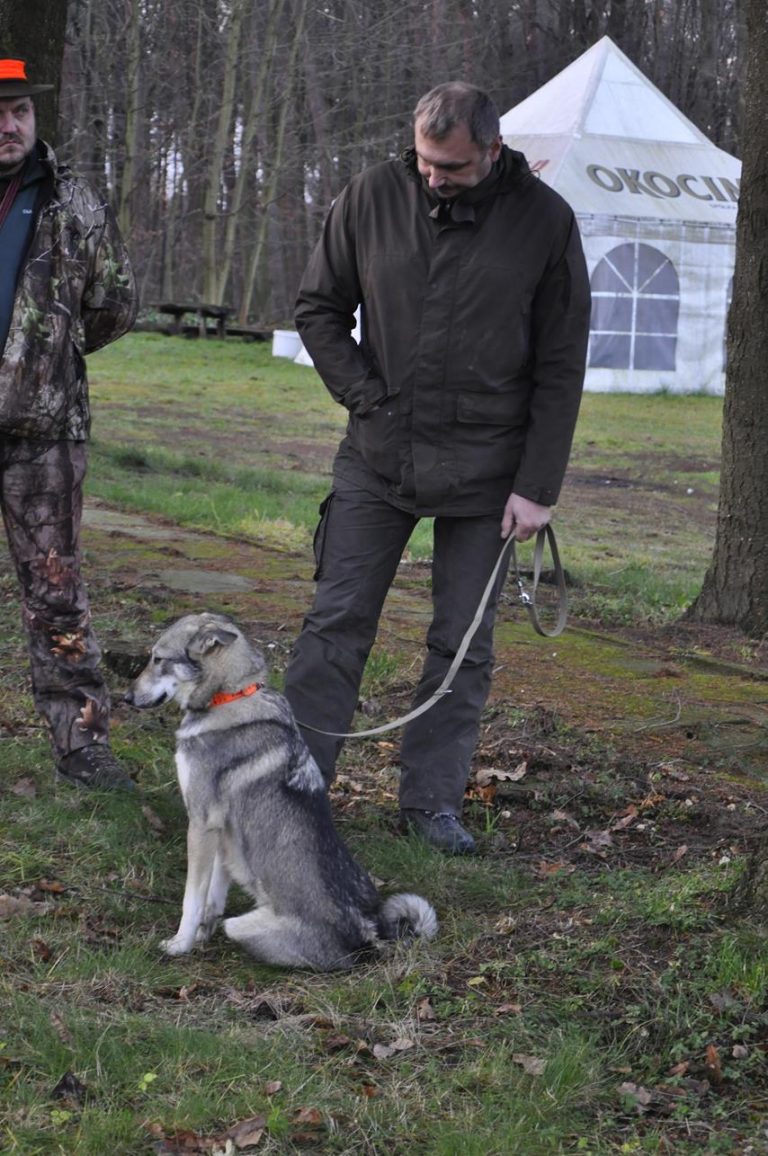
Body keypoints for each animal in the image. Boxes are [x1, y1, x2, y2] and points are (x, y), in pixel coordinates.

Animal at [126, 610, 437, 971]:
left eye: (158, 658)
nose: (126, 698)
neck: (229, 695)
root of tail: (366, 937)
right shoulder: (224, 835)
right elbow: (214, 896)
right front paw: (203, 934)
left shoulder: (202, 825)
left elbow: (192, 899)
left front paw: (180, 944)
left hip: (241, 925)